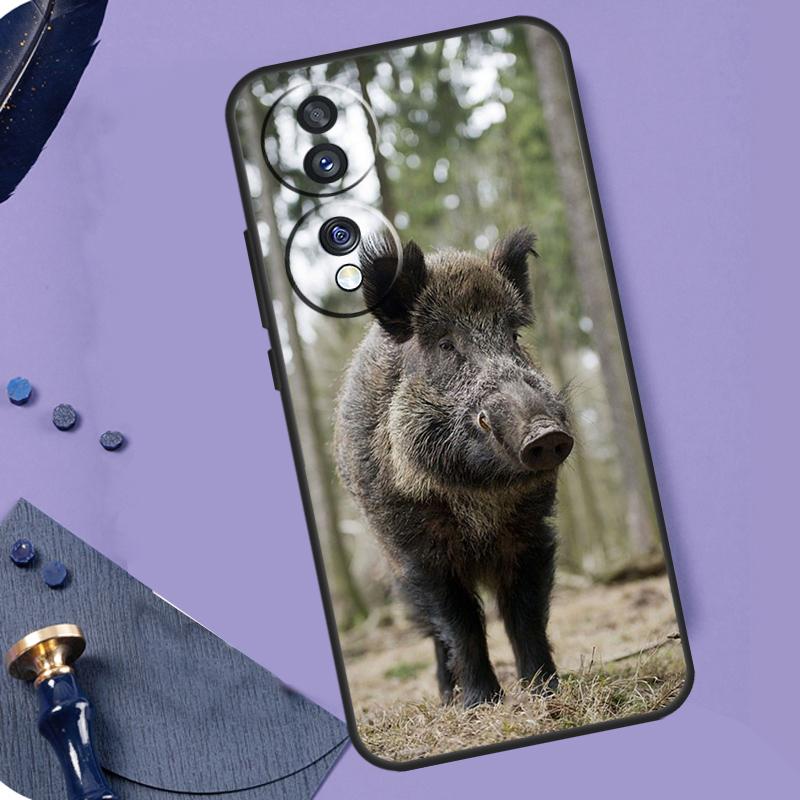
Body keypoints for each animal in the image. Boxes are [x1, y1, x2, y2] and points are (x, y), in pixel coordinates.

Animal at [334, 229, 573, 707]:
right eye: (446, 345)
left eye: (513, 336)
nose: (546, 433)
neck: (478, 496)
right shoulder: (418, 550)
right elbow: (459, 623)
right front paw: (481, 703)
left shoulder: (531, 531)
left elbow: (525, 614)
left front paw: (545, 692)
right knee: (432, 632)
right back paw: (447, 698)